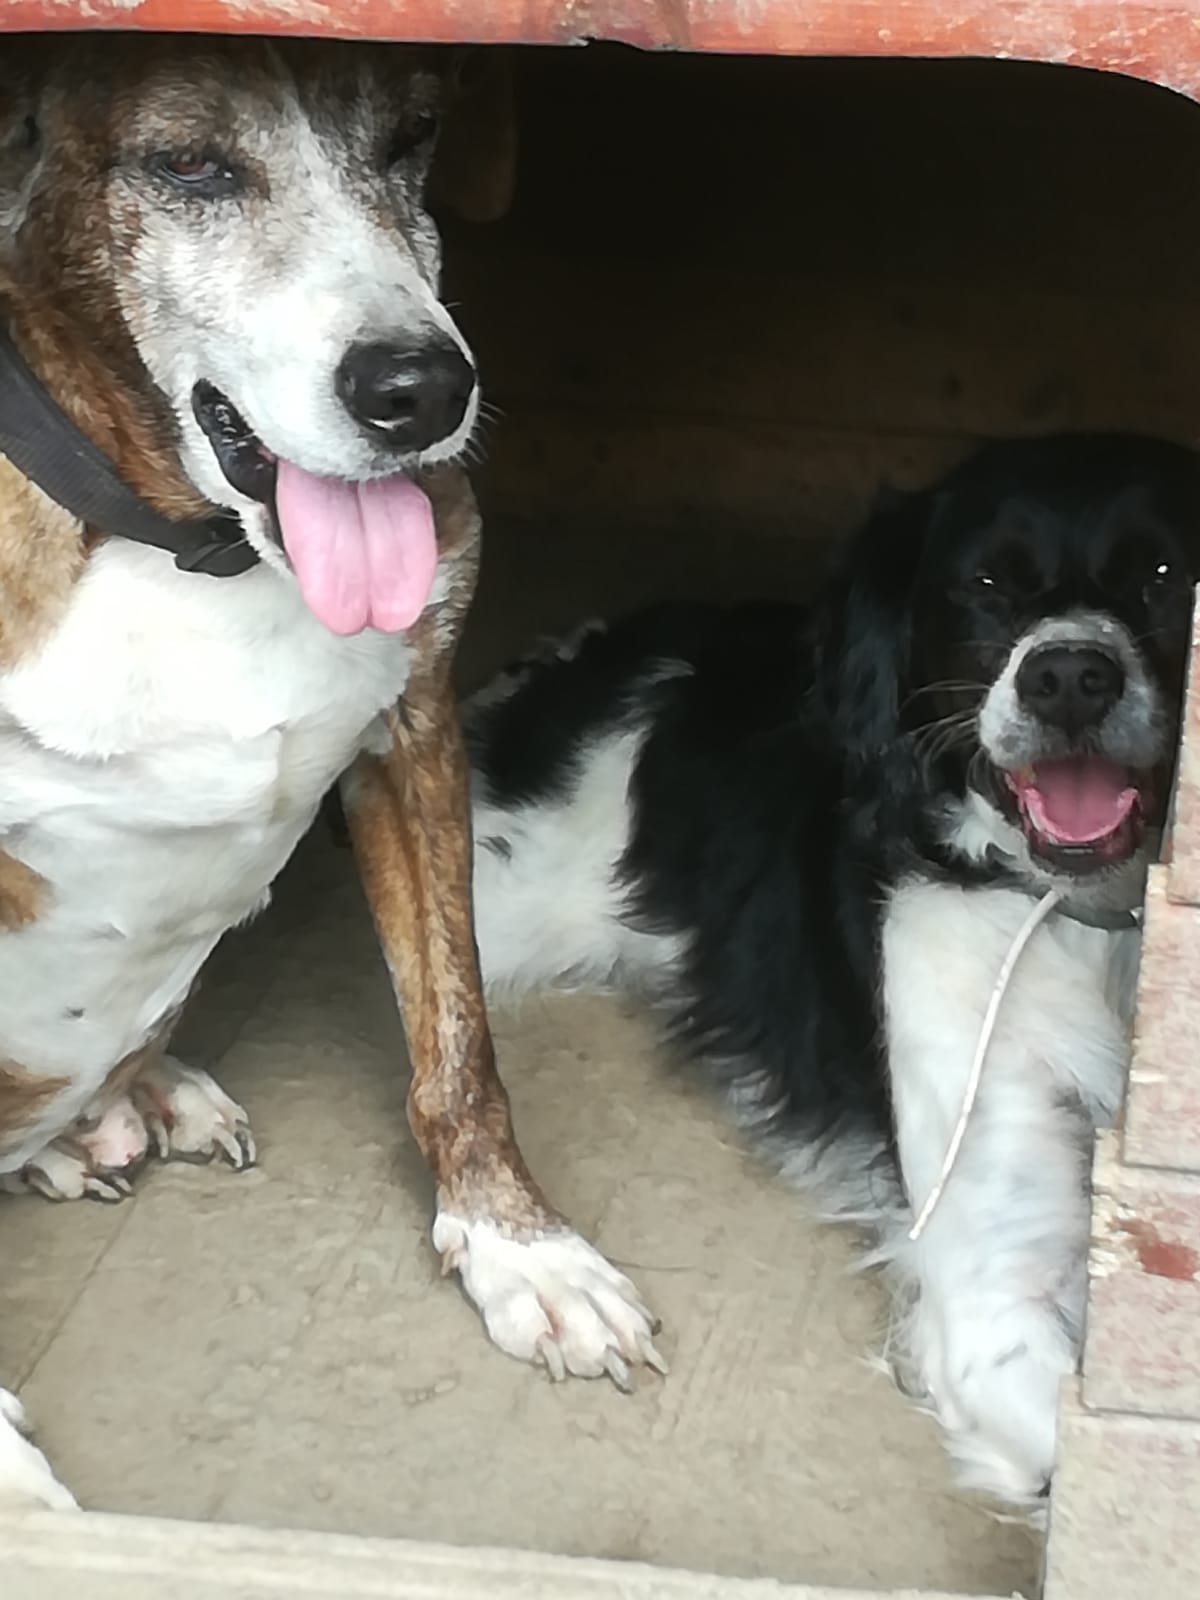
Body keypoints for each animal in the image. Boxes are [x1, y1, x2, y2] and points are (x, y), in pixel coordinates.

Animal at [0, 36, 660, 1510]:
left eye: (413, 135)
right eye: (189, 164)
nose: (420, 392)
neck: (189, 549)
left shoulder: (414, 738)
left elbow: (457, 1047)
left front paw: (518, 1245)